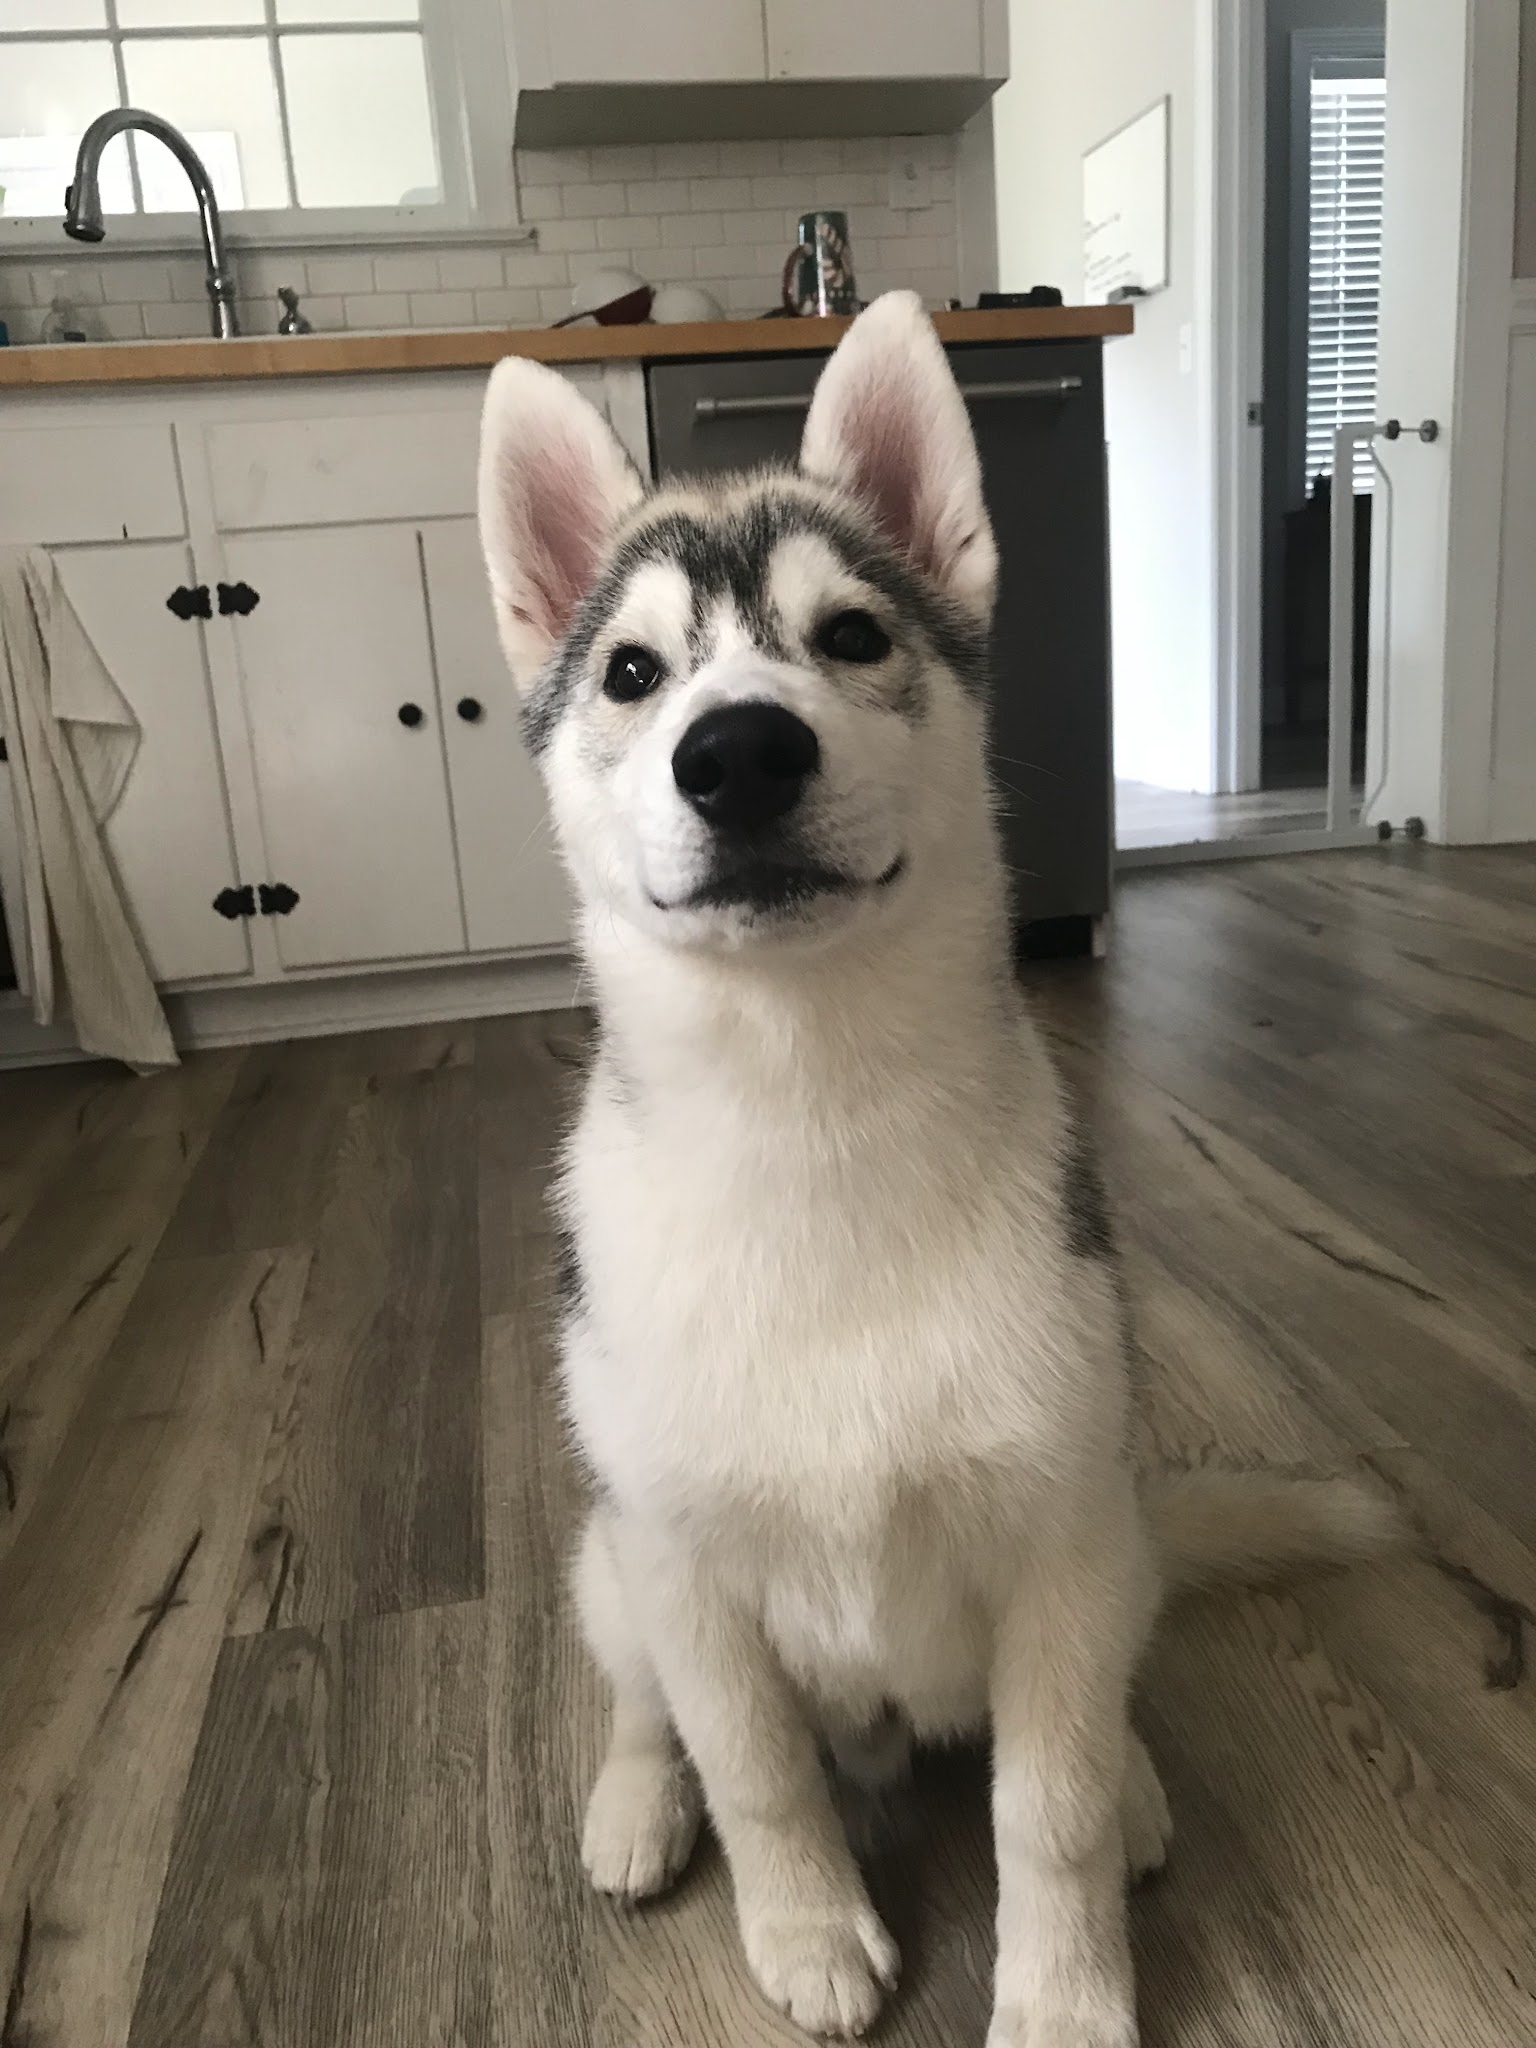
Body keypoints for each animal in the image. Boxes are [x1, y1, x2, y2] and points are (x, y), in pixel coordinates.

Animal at [477, 293, 1396, 2046]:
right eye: (630, 671)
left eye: (850, 638)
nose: (738, 754)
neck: (810, 1120)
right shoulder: (690, 1574)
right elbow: (757, 1771)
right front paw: (806, 1929)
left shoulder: (1060, 1544)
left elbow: (1051, 1807)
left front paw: (1064, 1995)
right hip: (611, 1560)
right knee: (640, 1701)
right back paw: (635, 1804)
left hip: (1118, 1538)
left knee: (1100, 1719)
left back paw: (1145, 1784)